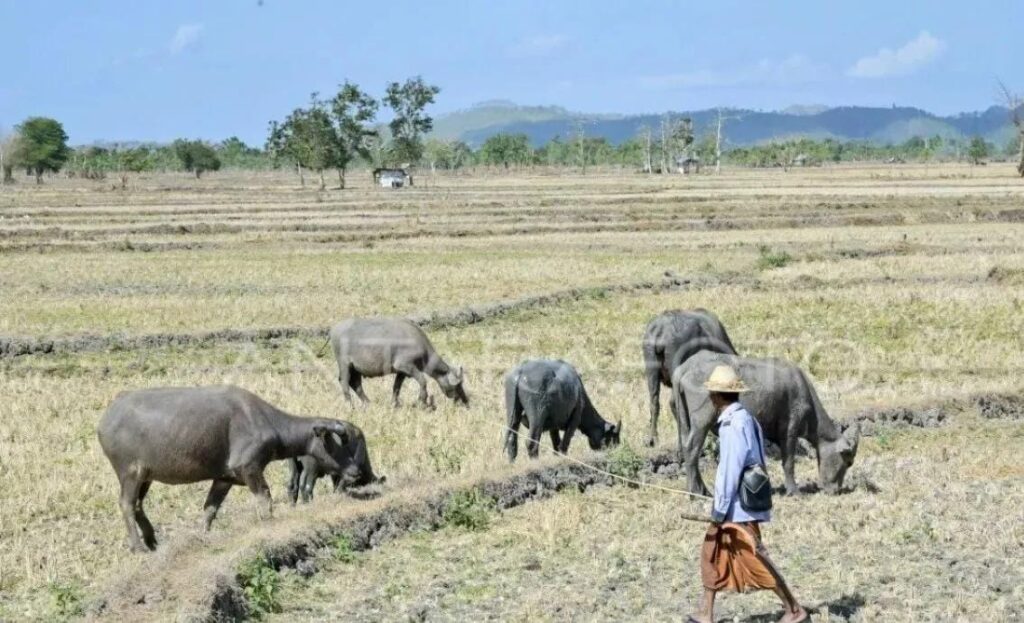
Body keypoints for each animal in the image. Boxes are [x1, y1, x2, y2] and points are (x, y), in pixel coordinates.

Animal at [96, 387, 352, 553]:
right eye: (343, 442)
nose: (355, 472)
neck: (265, 422)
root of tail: (105, 419)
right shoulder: (249, 469)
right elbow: (265, 498)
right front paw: (268, 523)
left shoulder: (224, 478)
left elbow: (210, 509)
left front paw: (202, 535)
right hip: (130, 472)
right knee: (127, 504)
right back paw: (138, 547)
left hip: (146, 476)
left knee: (139, 505)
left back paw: (152, 541)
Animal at [327, 315, 468, 409]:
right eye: (457, 385)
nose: (463, 400)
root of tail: (333, 330)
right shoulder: (406, 366)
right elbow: (423, 381)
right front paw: (421, 401)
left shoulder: (402, 372)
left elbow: (396, 387)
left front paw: (395, 403)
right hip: (344, 364)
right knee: (344, 382)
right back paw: (350, 406)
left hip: (356, 368)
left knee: (356, 384)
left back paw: (368, 403)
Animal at [667, 350, 860, 495]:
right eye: (848, 462)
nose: (835, 490)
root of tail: (684, 369)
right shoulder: (789, 431)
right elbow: (788, 462)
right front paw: (794, 491)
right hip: (701, 421)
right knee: (692, 449)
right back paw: (695, 493)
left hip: (683, 420)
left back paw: (702, 490)